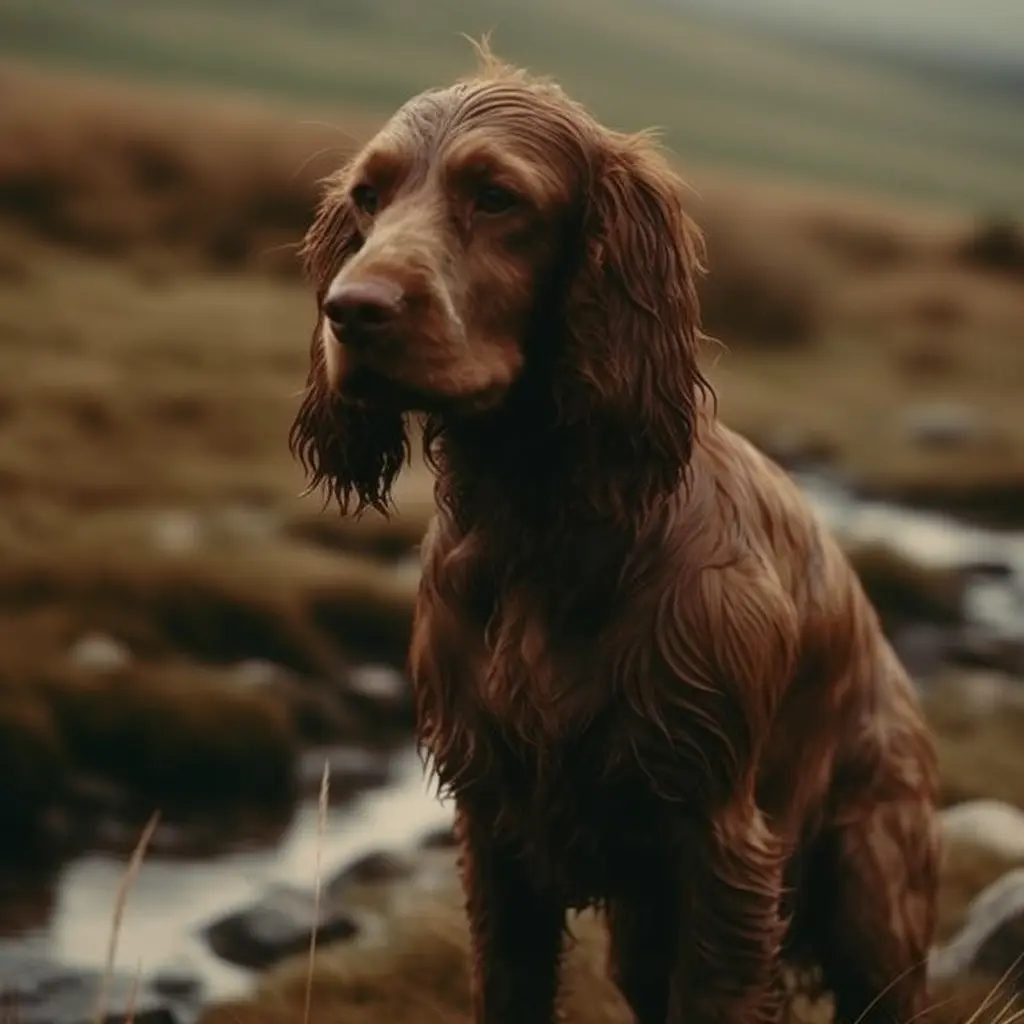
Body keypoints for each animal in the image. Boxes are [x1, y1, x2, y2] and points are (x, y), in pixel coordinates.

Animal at [290, 51, 942, 1024]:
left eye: (498, 198)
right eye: (369, 196)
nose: (352, 309)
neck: (542, 526)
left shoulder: (719, 844)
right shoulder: (496, 829)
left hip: (871, 894)